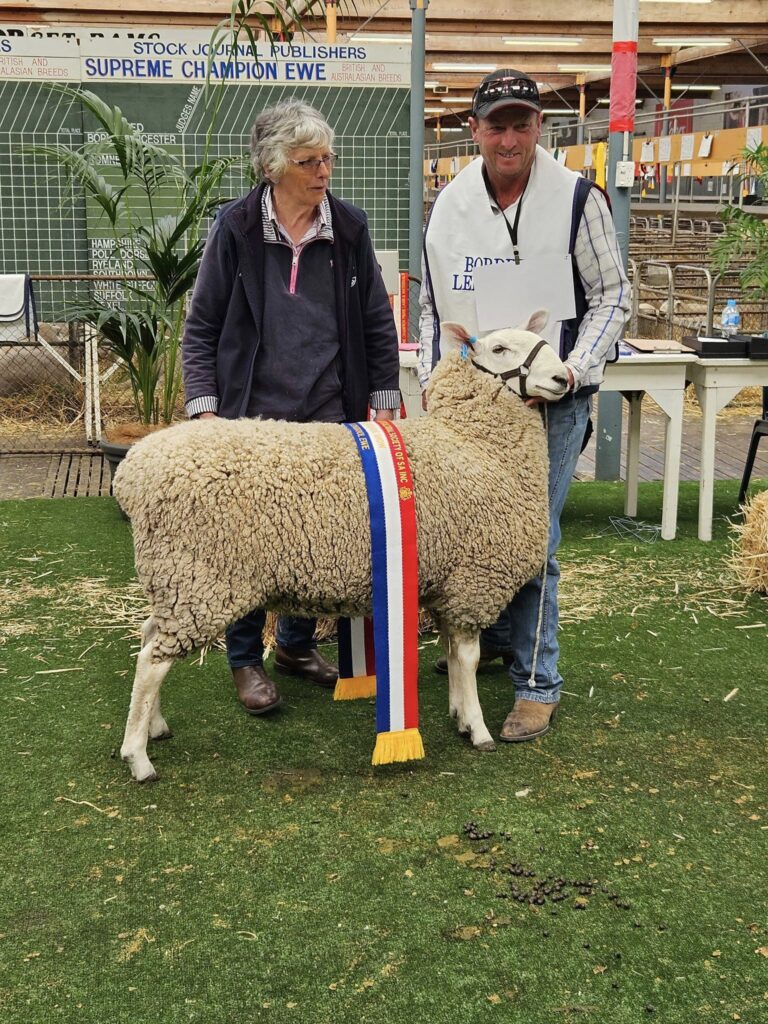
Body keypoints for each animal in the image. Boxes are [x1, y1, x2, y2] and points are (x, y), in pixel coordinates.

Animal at [115, 307, 573, 778]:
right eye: (499, 349)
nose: (563, 378)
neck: (472, 442)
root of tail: (132, 470)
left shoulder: (448, 583)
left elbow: (451, 652)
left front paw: (459, 714)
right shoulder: (473, 580)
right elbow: (467, 658)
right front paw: (478, 729)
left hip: (176, 580)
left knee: (148, 637)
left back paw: (155, 726)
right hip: (201, 579)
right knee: (151, 662)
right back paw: (138, 757)